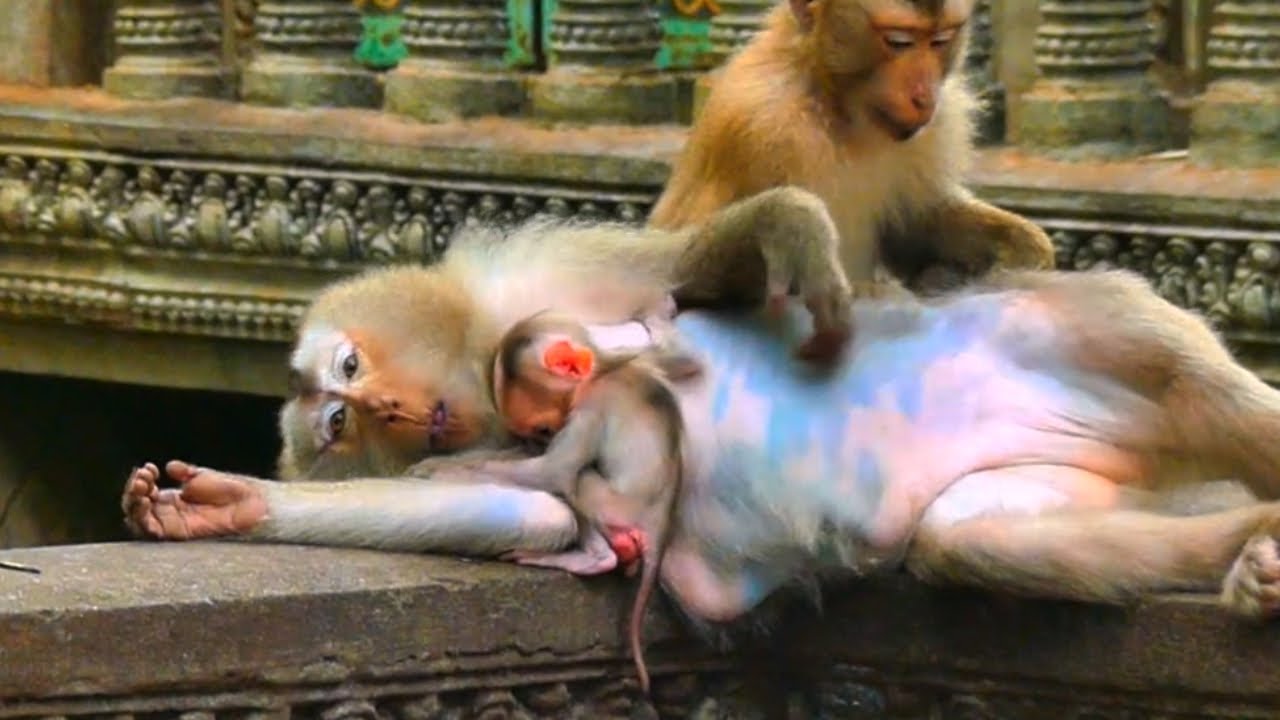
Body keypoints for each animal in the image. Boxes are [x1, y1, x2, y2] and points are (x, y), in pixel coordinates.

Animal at [122, 190, 1280, 634]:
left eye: (353, 370)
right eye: (338, 427)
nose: (397, 410)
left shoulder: (548, 277)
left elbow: (686, 269)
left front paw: (795, 236)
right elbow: (530, 513)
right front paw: (231, 507)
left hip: (1076, 326)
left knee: (1189, 381)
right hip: (1045, 473)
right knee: (973, 543)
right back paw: (1253, 553)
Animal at [649, 0, 1056, 296]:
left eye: (940, 40)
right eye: (898, 41)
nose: (924, 97)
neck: (834, 103)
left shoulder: (938, 124)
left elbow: (914, 227)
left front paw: (1022, 249)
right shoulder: (765, 129)